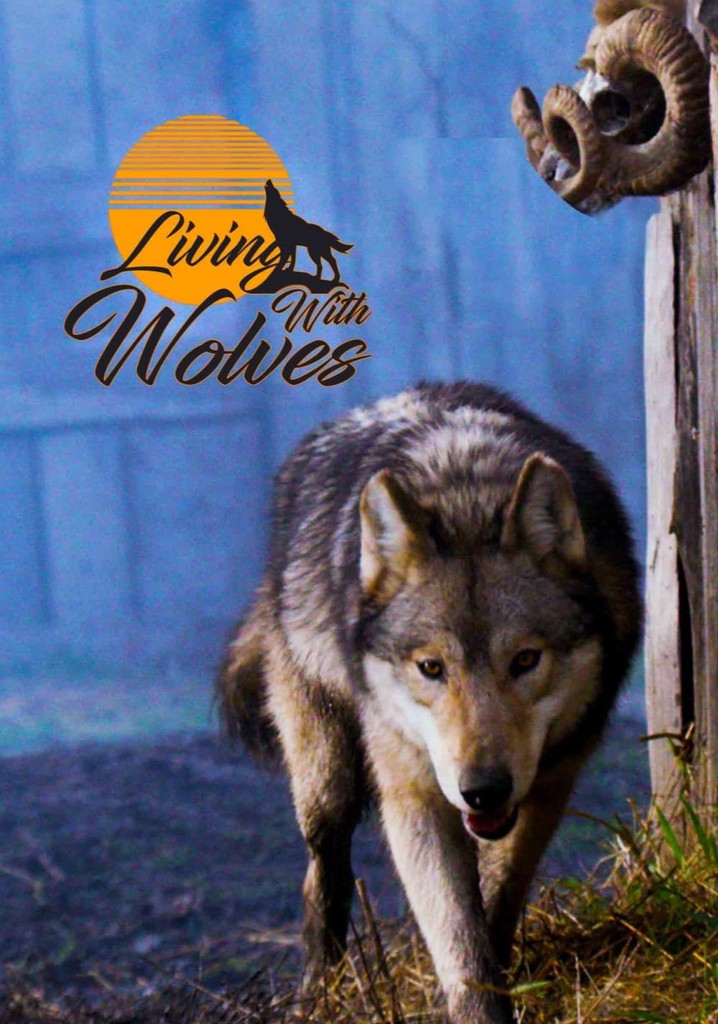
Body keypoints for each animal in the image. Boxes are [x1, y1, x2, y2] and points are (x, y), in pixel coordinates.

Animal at [218, 381, 641, 1024]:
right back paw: (319, 994)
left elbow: (496, 897)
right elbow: (458, 942)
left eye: (525, 660)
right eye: (431, 668)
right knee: (323, 878)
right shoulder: (413, 795)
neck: (466, 493)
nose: (482, 789)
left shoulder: (550, 781)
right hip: (326, 782)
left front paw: (503, 962)